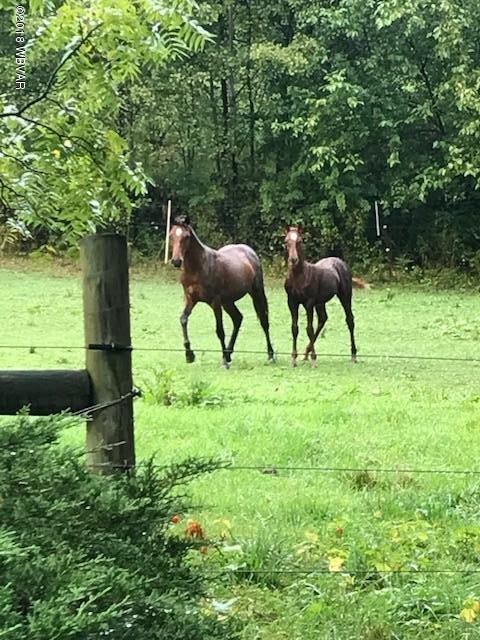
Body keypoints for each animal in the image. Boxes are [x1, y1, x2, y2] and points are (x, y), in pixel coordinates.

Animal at [169, 215, 275, 367]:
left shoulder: (215, 302)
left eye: (186, 236)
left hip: (256, 293)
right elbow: (183, 319)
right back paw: (229, 353)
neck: (198, 268)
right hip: (228, 302)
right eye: (171, 235)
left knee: (264, 321)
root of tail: (249, 251)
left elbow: (220, 330)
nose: (176, 261)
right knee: (238, 318)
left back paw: (270, 355)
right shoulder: (190, 298)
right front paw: (189, 355)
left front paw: (224, 361)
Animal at [284, 225, 369, 367]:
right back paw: (305, 353)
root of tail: (340, 262)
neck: (299, 277)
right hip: (320, 302)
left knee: (350, 320)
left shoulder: (309, 303)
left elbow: (309, 329)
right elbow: (294, 328)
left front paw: (313, 360)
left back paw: (353, 355)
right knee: (323, 318)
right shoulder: (292, 302)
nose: (293, 260)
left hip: (345, 296)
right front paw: (294, 359)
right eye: (286, 241)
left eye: (300, 241)